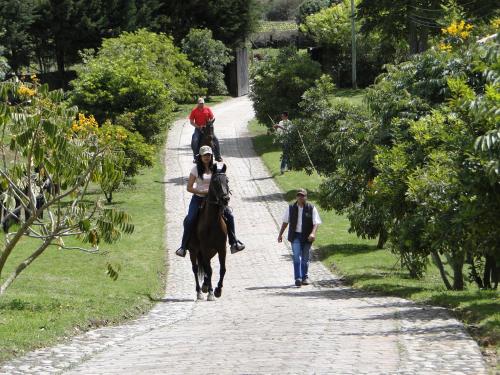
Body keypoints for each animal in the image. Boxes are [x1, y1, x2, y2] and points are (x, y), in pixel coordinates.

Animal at [187, 163, 229, 302]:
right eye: (215, 182)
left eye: (227, 181)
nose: (226, 199)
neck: (212, 222)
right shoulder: (204, 248)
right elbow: (209, 270)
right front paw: (211, 292)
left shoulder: (222, 248)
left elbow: (222, 269)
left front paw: (218, 290)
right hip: (194, 251)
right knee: (196, 269)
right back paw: (200, 291)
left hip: (210, 252)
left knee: (206, 267)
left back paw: (205, 286)